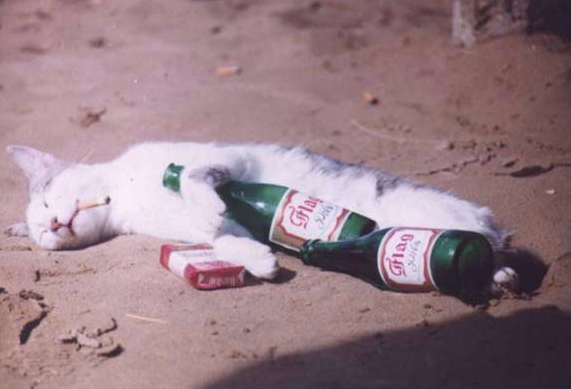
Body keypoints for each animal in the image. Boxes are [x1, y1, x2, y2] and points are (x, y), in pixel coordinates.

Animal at [3, 142, 520, 292]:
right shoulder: (214, 228)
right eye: (41, 235)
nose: (52, 226)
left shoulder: (225, 161)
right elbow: (224, 238)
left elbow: (193, 178)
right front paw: (261, 262)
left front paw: (209, 200)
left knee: (489, 239)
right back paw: (496, 277)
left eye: (47, 201)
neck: (125, 199)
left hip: (441, 217)